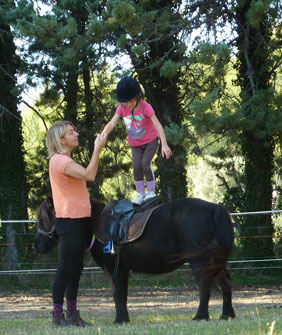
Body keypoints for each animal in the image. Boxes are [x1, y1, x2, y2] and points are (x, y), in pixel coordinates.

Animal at [33, 198, 236, 324]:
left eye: (43, 219)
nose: (37, 245)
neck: (97, 223)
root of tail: (214, 207)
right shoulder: (123, 269)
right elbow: (123, 294)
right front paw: (124, 319)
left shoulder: (112, 269)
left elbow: (116, 293)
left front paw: (118, 320)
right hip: (215, 261)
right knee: (225, 283)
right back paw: (226, 315)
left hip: (199, 260)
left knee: (205, 286)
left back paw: (200, 316)